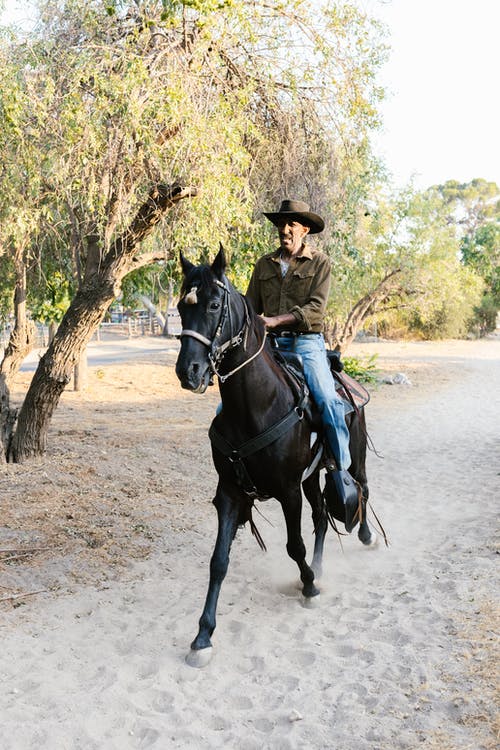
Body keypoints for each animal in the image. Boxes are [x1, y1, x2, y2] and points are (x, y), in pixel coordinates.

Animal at [176, 248, 376, 668]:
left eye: (214, 304)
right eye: (182, 307)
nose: (189, 371)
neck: (257, 404)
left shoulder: (287, 491)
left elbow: (293, 546)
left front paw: (310, 587)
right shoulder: (230, 492)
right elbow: (218, 561)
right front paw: (203, 635)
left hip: (353, 455)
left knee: (361, 487)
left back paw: (364, 536)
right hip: (313, 477)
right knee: (321, 516)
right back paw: (320, 566)